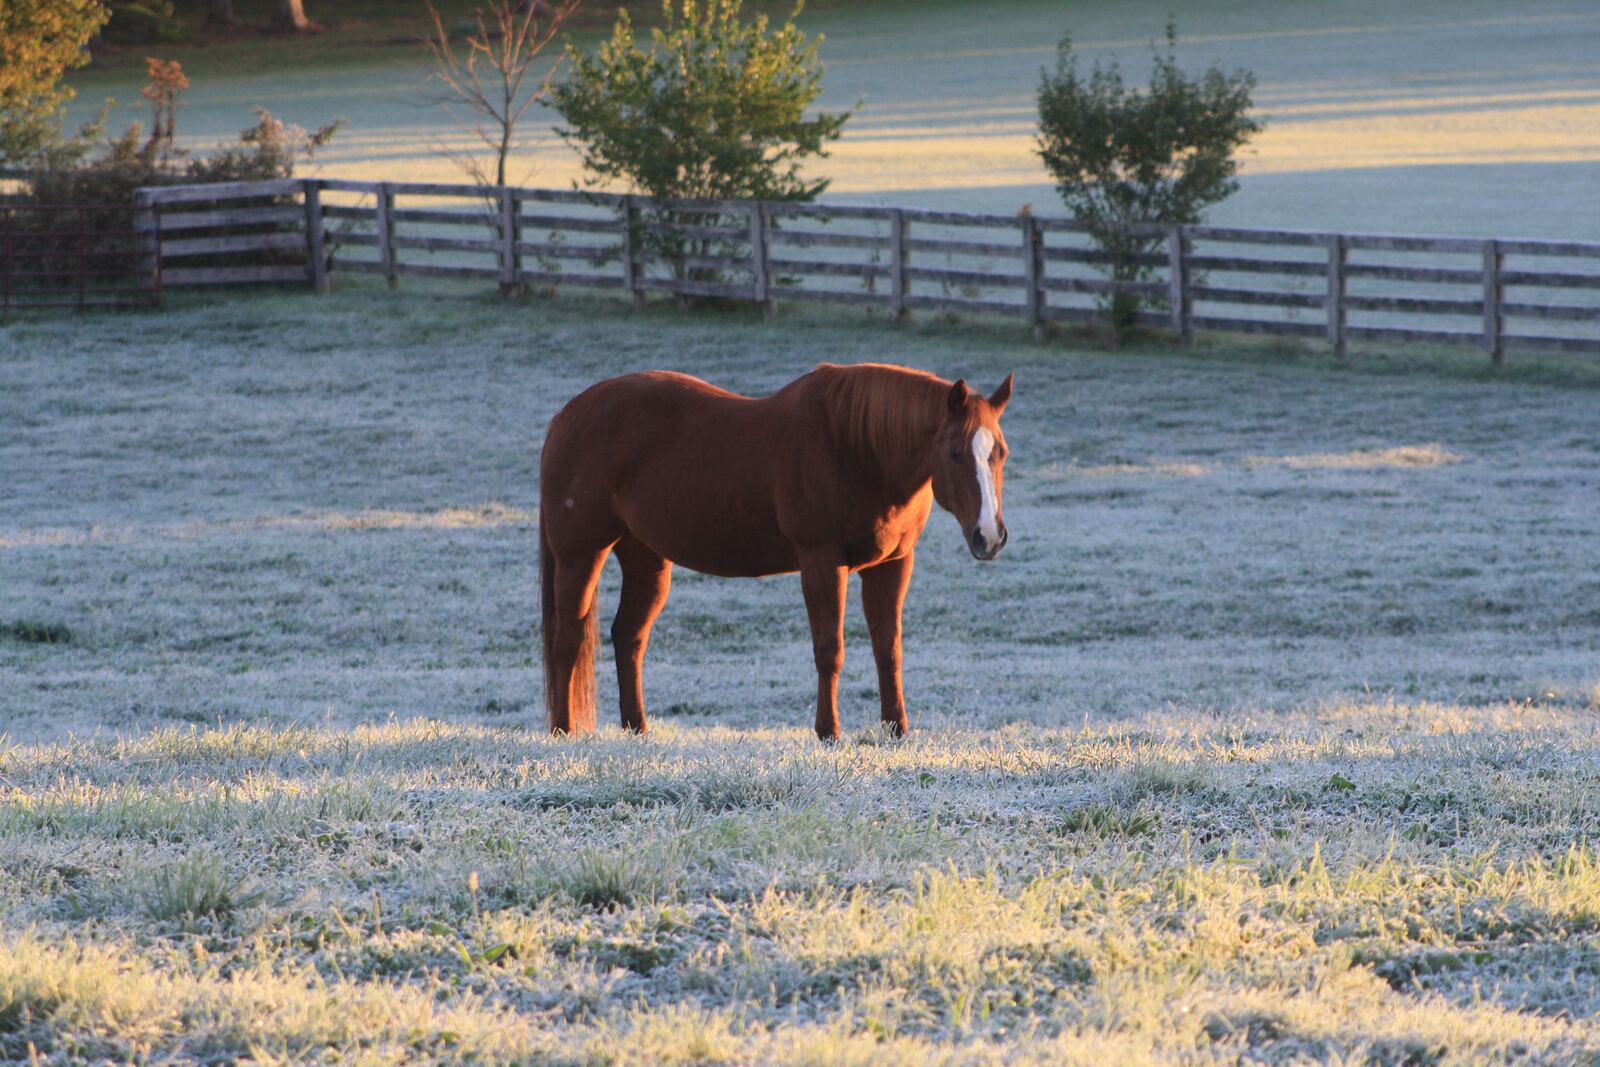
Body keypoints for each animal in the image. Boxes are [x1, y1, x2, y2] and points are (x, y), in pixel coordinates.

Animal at [537, 363, 1011, 739]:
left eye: (1000, 453)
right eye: (954, 453)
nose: (989, 536)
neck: (855, 448)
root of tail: (567, 415)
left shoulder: (892, 565)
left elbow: (888, 648)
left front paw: (897, 729)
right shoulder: (821, 563)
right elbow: (829, 649)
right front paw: (828, 732)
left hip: (646, 561)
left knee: (628, 637)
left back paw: (636, 728)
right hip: (579, 555)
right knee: (567, 638)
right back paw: (563, 731)